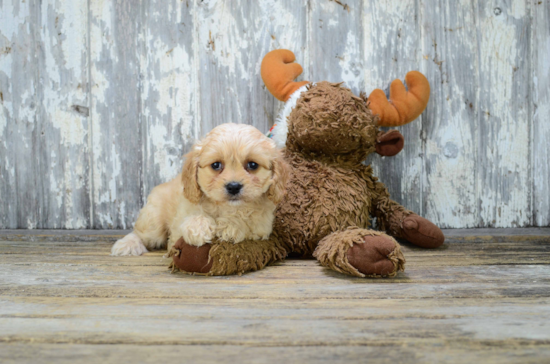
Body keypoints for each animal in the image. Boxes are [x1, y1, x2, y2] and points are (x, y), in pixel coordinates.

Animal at [111, 122, 288, 256]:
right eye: (216, 165)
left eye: (252, 165)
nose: (233, 186)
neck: (227, 208)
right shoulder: (180, 221)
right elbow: (191, 220)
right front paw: (198, 229)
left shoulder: (262, 225)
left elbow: (246, 222)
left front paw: (229, 226)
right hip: (153, 219)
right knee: (140, 233)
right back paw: (128, 245)